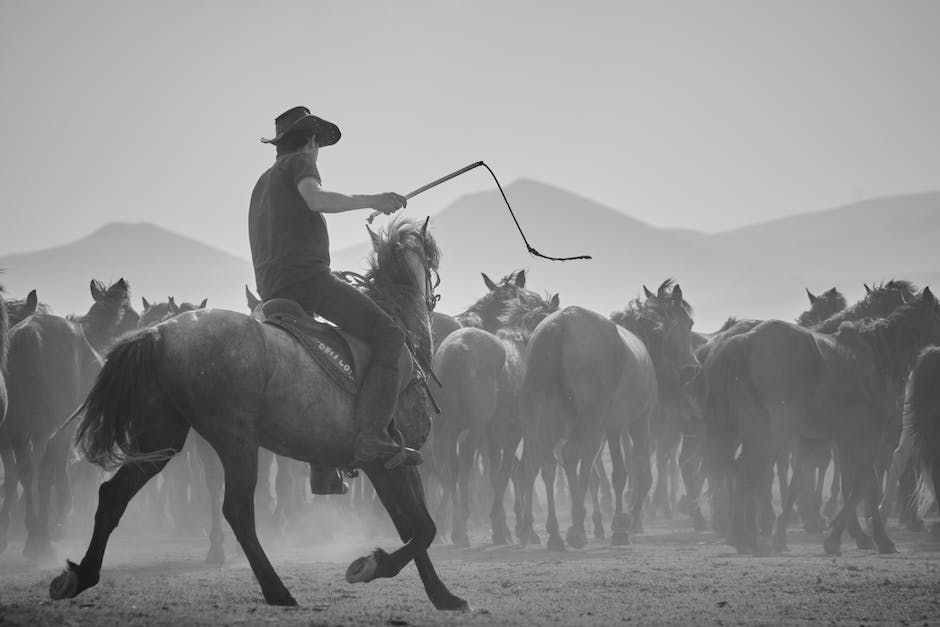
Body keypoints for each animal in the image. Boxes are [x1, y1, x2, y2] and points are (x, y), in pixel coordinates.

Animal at [49, 218, 468, 612]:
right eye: (432, 259)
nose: (433, 298)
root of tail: (160, 334)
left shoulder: (397, 465)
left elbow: (414, 527)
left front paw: (442, 595)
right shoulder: (387, 462)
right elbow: (422, 528)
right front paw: (372, 566)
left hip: (161, 437)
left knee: (113, 494)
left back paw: (81, 575)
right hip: (236, 441)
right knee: (237, 511)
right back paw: (277, 589)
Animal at [704, 288, 940, 556]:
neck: (876, 357)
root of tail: (745, 341)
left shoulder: (831, 439)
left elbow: (849, 481)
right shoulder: (866, 437)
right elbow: (863, 483)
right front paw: (860, 537)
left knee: (738, 470)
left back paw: (743, 536)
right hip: (769, 434)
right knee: (748, 471)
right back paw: (752, 538)